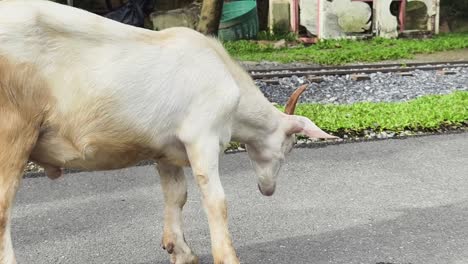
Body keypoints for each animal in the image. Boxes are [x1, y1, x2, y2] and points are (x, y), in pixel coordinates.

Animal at [0, 1, 336, 262]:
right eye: (289, 146)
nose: (268, 189)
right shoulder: (202, 136)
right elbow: (216, 200)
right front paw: (226, 257)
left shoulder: (166, 152)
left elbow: (177, 195)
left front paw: (179, 250)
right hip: (13, 129)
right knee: (3, 207)